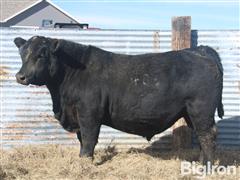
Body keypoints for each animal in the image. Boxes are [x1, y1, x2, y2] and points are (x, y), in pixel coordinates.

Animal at [14, 36, 224, 165]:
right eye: (22, 54)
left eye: (41, 55)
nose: (20, 76)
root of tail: (200, 50)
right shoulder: (78, 115)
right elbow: (81, 139)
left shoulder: (89, 113)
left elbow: (88, 140)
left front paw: (85, 163)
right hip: (190, 112)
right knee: (202, 135)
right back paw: (199, 163)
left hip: (200, 109)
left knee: (208, 136)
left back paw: (206, 167)